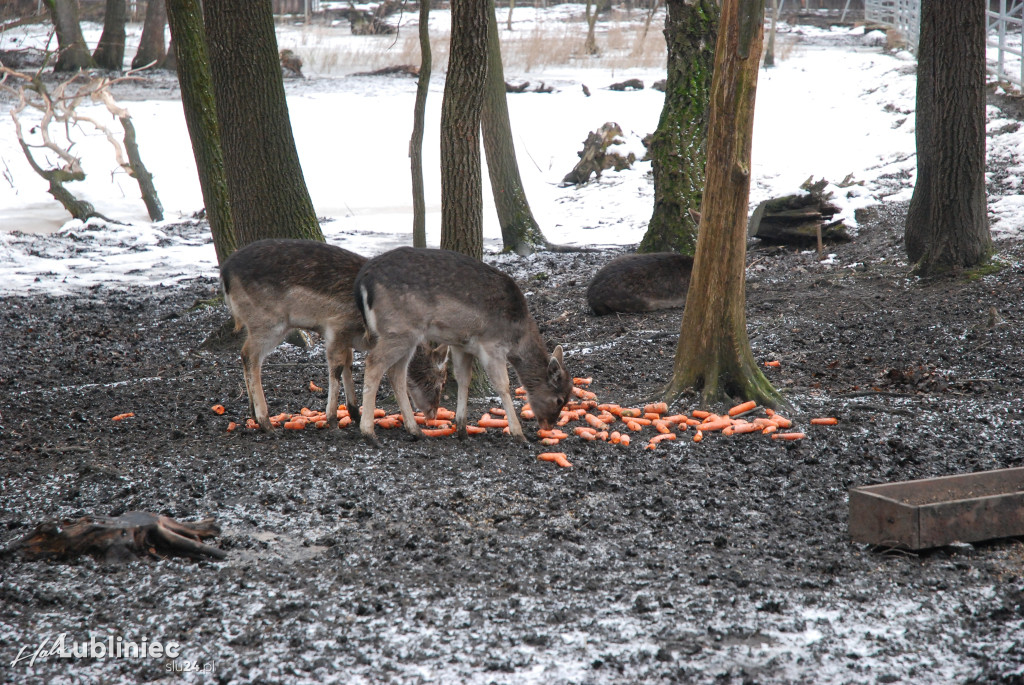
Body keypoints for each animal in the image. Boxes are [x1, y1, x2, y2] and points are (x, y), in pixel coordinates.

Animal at [220, 240, 448, 430]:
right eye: (435, 381)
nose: (433, 413)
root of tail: (225, 272)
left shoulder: (347, 336)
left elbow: (349, 363)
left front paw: (355, 412)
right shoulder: (336, 327)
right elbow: (336, 367)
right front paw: (332, 420)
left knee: (244, 354)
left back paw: (252, 411)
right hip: (269, 323)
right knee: (251, 355)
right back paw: (265, 421)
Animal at [356, 245, 573, 444]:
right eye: (559, 399)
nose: (549, 425)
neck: (516, 336)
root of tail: (362, 281)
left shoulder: (462, 345)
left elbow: (463, 379)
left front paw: (462, 429)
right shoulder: (491, 345)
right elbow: (503, 385)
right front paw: (518, 433)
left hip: (406, 336)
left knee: (396, 374)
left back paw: (415, 430)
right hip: (399, 330)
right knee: (374, 363)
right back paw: (368, 432)